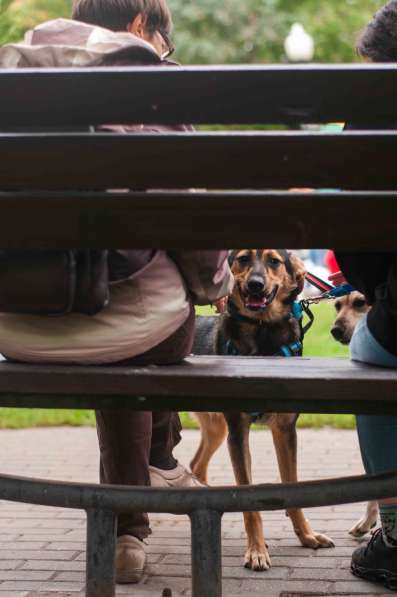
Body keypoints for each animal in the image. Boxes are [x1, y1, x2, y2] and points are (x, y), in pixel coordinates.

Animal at [190, 249, 332, 572]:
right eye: (243, 258)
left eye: (274, 261)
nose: (256, 285)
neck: (263, 329)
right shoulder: (237, 433)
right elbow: (249, 503)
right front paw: (256, 550)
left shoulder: (285, 429)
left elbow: (293, 486)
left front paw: (306, 535)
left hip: (216, 428)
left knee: (196, 466)